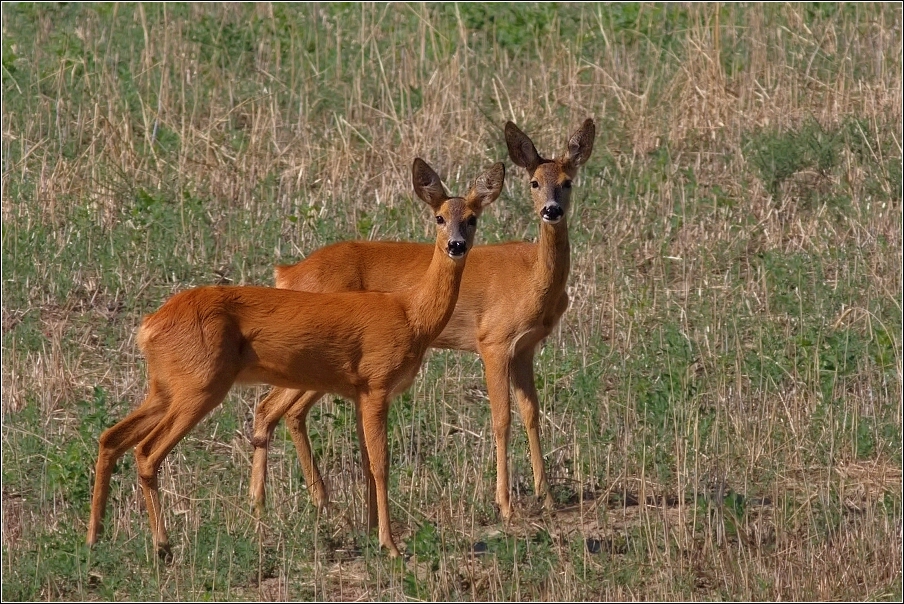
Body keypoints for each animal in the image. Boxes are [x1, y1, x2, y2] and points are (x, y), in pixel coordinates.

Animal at [85, 158, 504, 560]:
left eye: (472, 218)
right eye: (439, 217)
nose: (456, 245)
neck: (412, 314)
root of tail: (148, 325)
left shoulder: (358, 393)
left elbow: (366, 464)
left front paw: (371, 534)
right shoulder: (376, 384)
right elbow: (381, 464)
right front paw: (390, 546)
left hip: (165, 387)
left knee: (111, 437)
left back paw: (95, 539)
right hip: (199, 386)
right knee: (145, 452)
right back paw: (162, 546)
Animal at [251, 120, 596, 520]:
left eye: (568, 181)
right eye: (534, 182)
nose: (552, 211)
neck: (533, 279)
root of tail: (286, 273)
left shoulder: (525, 348)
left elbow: (531, 413)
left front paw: (548, 498)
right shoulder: (492, 341)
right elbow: (501, 419)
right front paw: (506, 506)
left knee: (286, 411)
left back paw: (314, 502)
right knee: (271, 407)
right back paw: (268, 505)